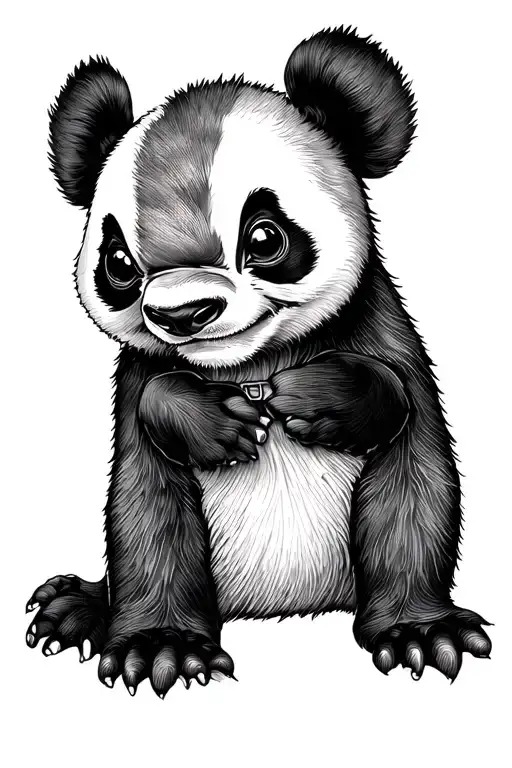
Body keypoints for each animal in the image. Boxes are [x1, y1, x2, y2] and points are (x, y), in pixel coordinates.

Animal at [26, 26, 491, 697]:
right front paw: (161, 647)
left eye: (266, 237)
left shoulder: (383, 331)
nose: (182, 312)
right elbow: (149, 510)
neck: (248, 365)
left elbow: (410, 477)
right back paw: (73, 607)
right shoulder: (136, 391)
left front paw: (421, 632)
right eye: (117, 262)